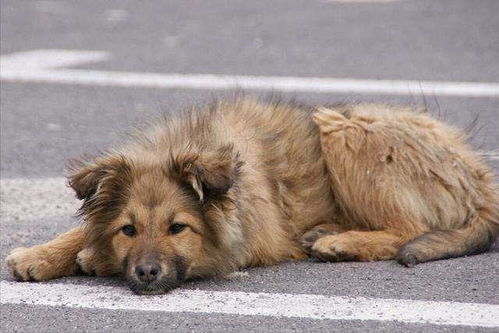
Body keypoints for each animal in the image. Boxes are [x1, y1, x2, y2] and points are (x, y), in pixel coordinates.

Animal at [5, 96, 498, 294]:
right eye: (128, 229)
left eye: (177, 228)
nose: (146, 273)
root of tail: (477, 174)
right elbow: (83, 228)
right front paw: (41, 254)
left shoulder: (250, 242)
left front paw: (92, 257)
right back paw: (326, 232)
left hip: (344, 129)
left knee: (410, 227)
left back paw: (340, 242)